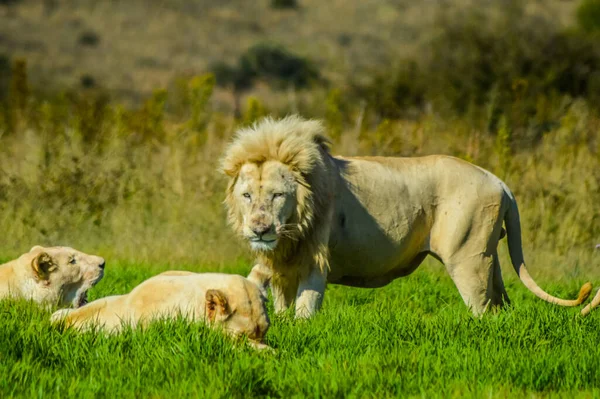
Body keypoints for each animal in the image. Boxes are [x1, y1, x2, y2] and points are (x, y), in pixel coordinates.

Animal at [219, 115, 592, 318]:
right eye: (247, 196)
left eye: (278, 195)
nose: (260, 229)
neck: (292, 227)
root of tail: (498, 180)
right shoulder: (284, 264)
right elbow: (279, 305)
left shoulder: (314, 260)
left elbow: (305, 310)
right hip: (488, 257)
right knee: (501, 304)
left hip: (467, 257)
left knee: (482, 309)